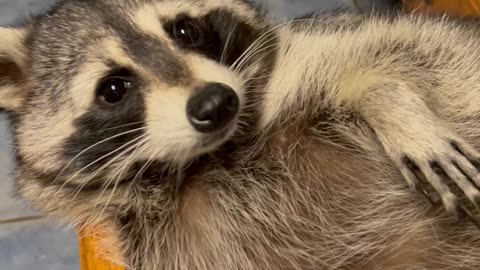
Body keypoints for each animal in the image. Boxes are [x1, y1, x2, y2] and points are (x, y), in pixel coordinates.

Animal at [0, 0, 480, 268]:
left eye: (185, 30)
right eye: (114, 89)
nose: (216, 103)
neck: (209, 157)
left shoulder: (322, 48)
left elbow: (382, 52)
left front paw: (391, 103)